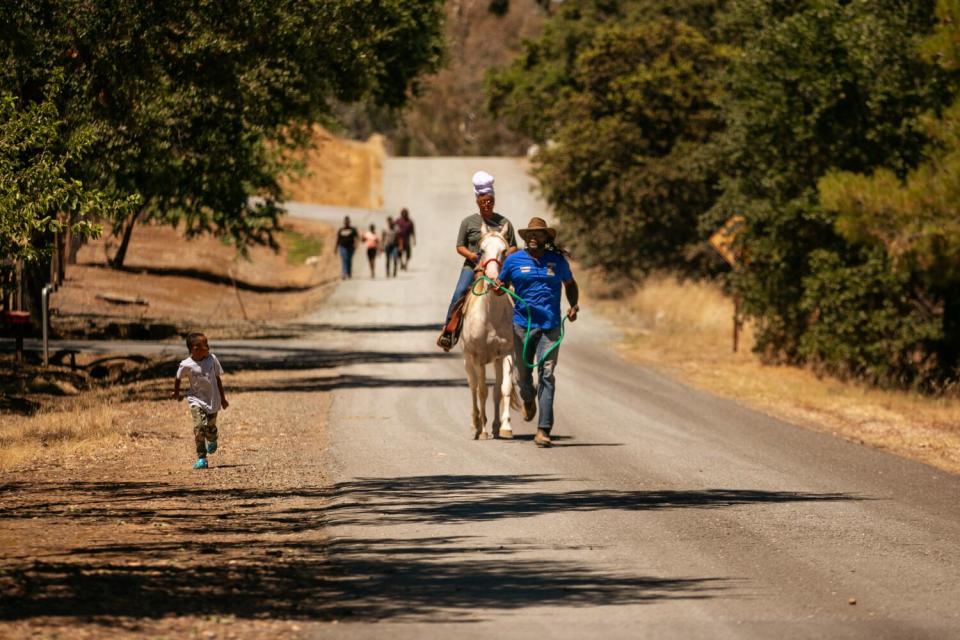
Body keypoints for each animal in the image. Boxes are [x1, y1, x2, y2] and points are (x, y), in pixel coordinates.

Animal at [462, 222, 520, 438]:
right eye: (481, 250)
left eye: (504, 250)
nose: (495, 279)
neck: (491, 316)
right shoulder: (478, 357)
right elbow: (482, 391)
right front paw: (483, 430)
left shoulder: (506, 353)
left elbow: (503, 389)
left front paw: (505, 427)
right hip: (468, 359)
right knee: (473, 387)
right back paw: (476, 425)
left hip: (495, 361)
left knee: (495, 390)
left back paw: (495, 425)